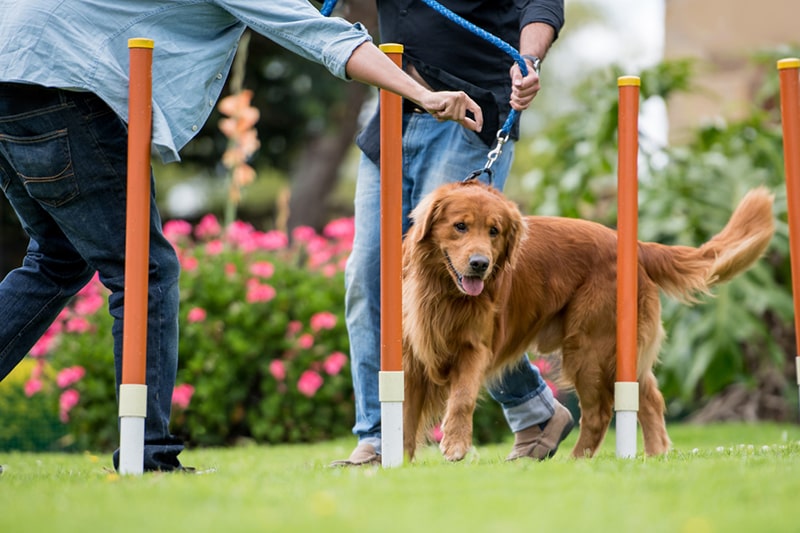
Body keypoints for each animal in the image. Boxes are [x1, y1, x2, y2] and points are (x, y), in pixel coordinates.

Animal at [400, 180, 776, 462]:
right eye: (460, 226)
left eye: (494, 231)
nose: (480, 264)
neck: (442, 291)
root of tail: (635, 246)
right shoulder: (412, 357)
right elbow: (405, 413)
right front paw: (399, 464)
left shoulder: (475, 347)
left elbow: (461, 398)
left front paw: (455, 445)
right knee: (649, 396)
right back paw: (655, 456)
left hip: (589, 348)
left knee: (600, 412)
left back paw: (577, 462)